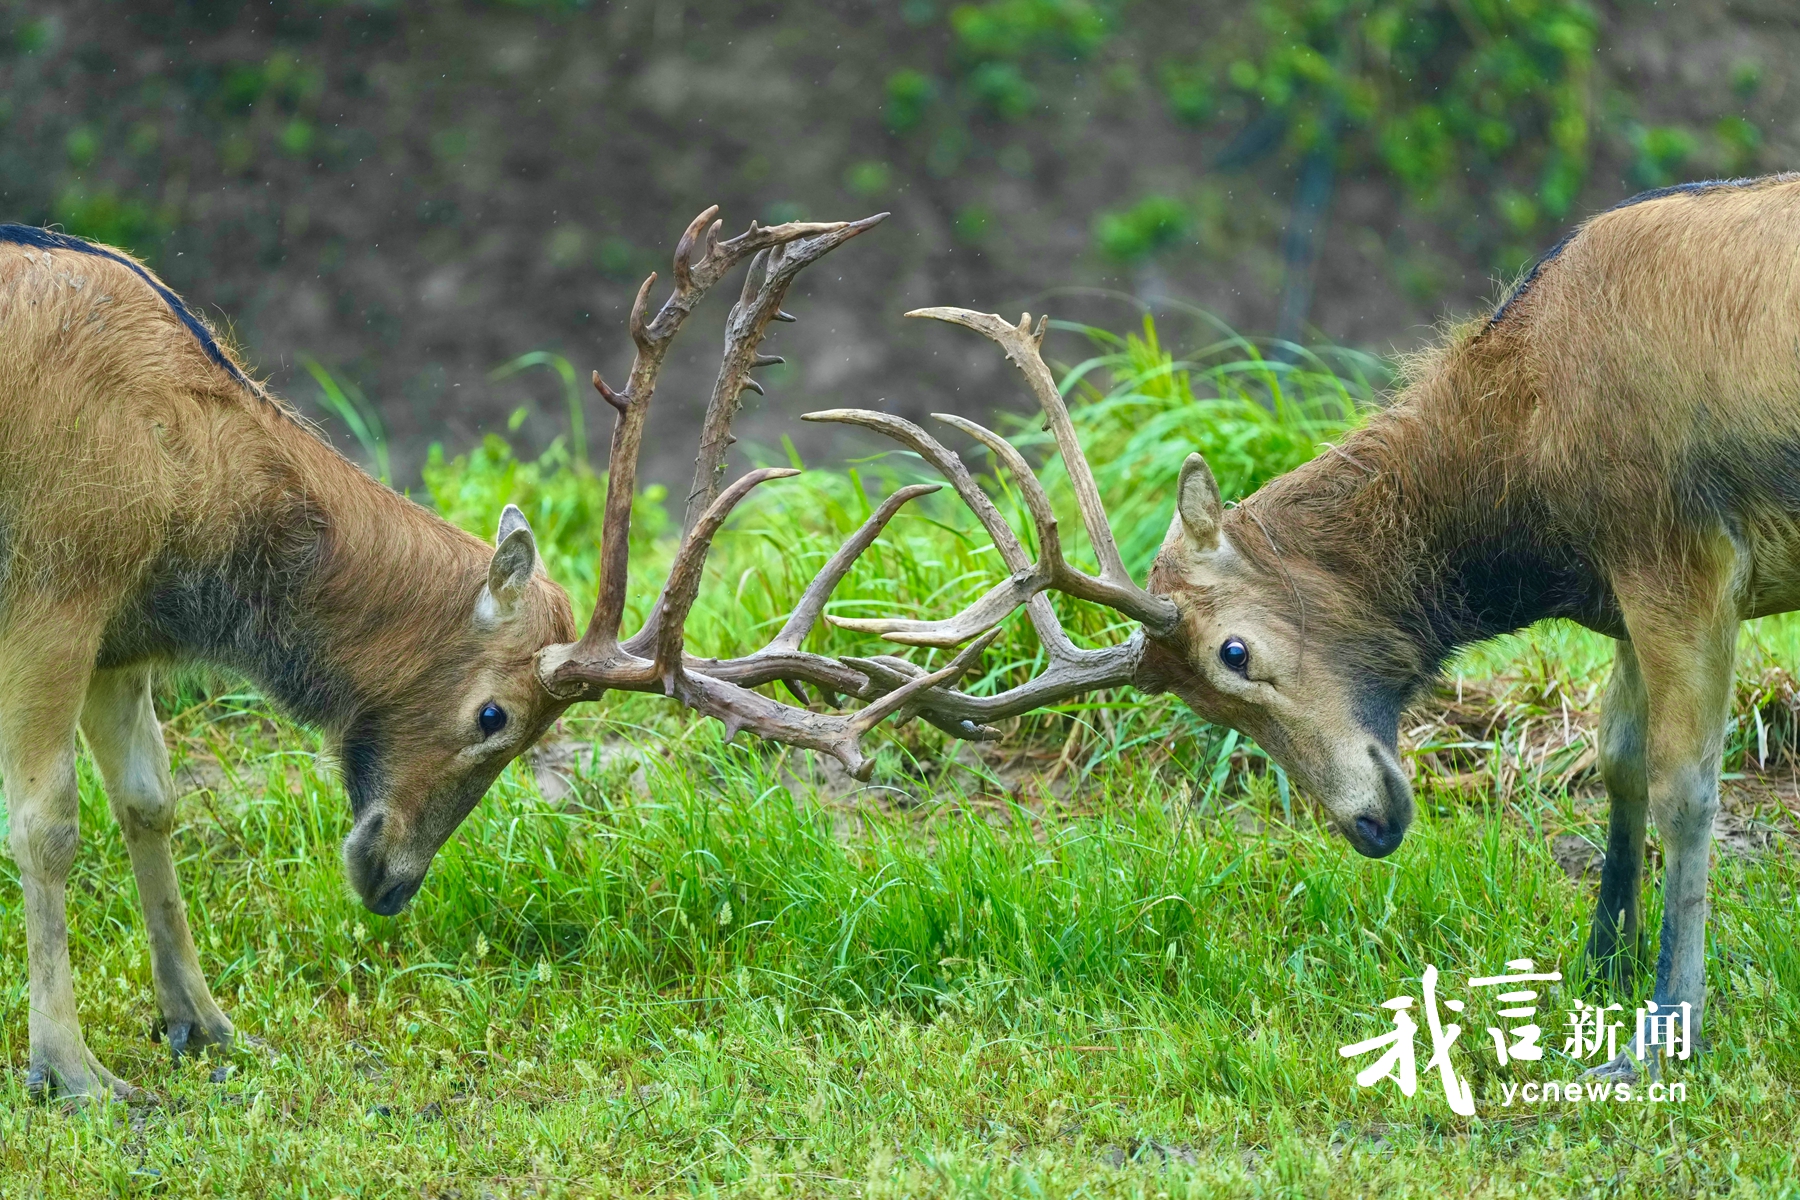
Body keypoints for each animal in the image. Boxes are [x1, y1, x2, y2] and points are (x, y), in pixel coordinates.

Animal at [815, 173, 1800, 1080]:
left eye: (1234, 652)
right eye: (1202, 706)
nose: (1367, 825)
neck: (1534, 500)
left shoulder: (1684, 554)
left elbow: (1684, 788)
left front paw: (1664, 1030)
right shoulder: (1625, 591)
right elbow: (1618, 761)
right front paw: (1603, 968)